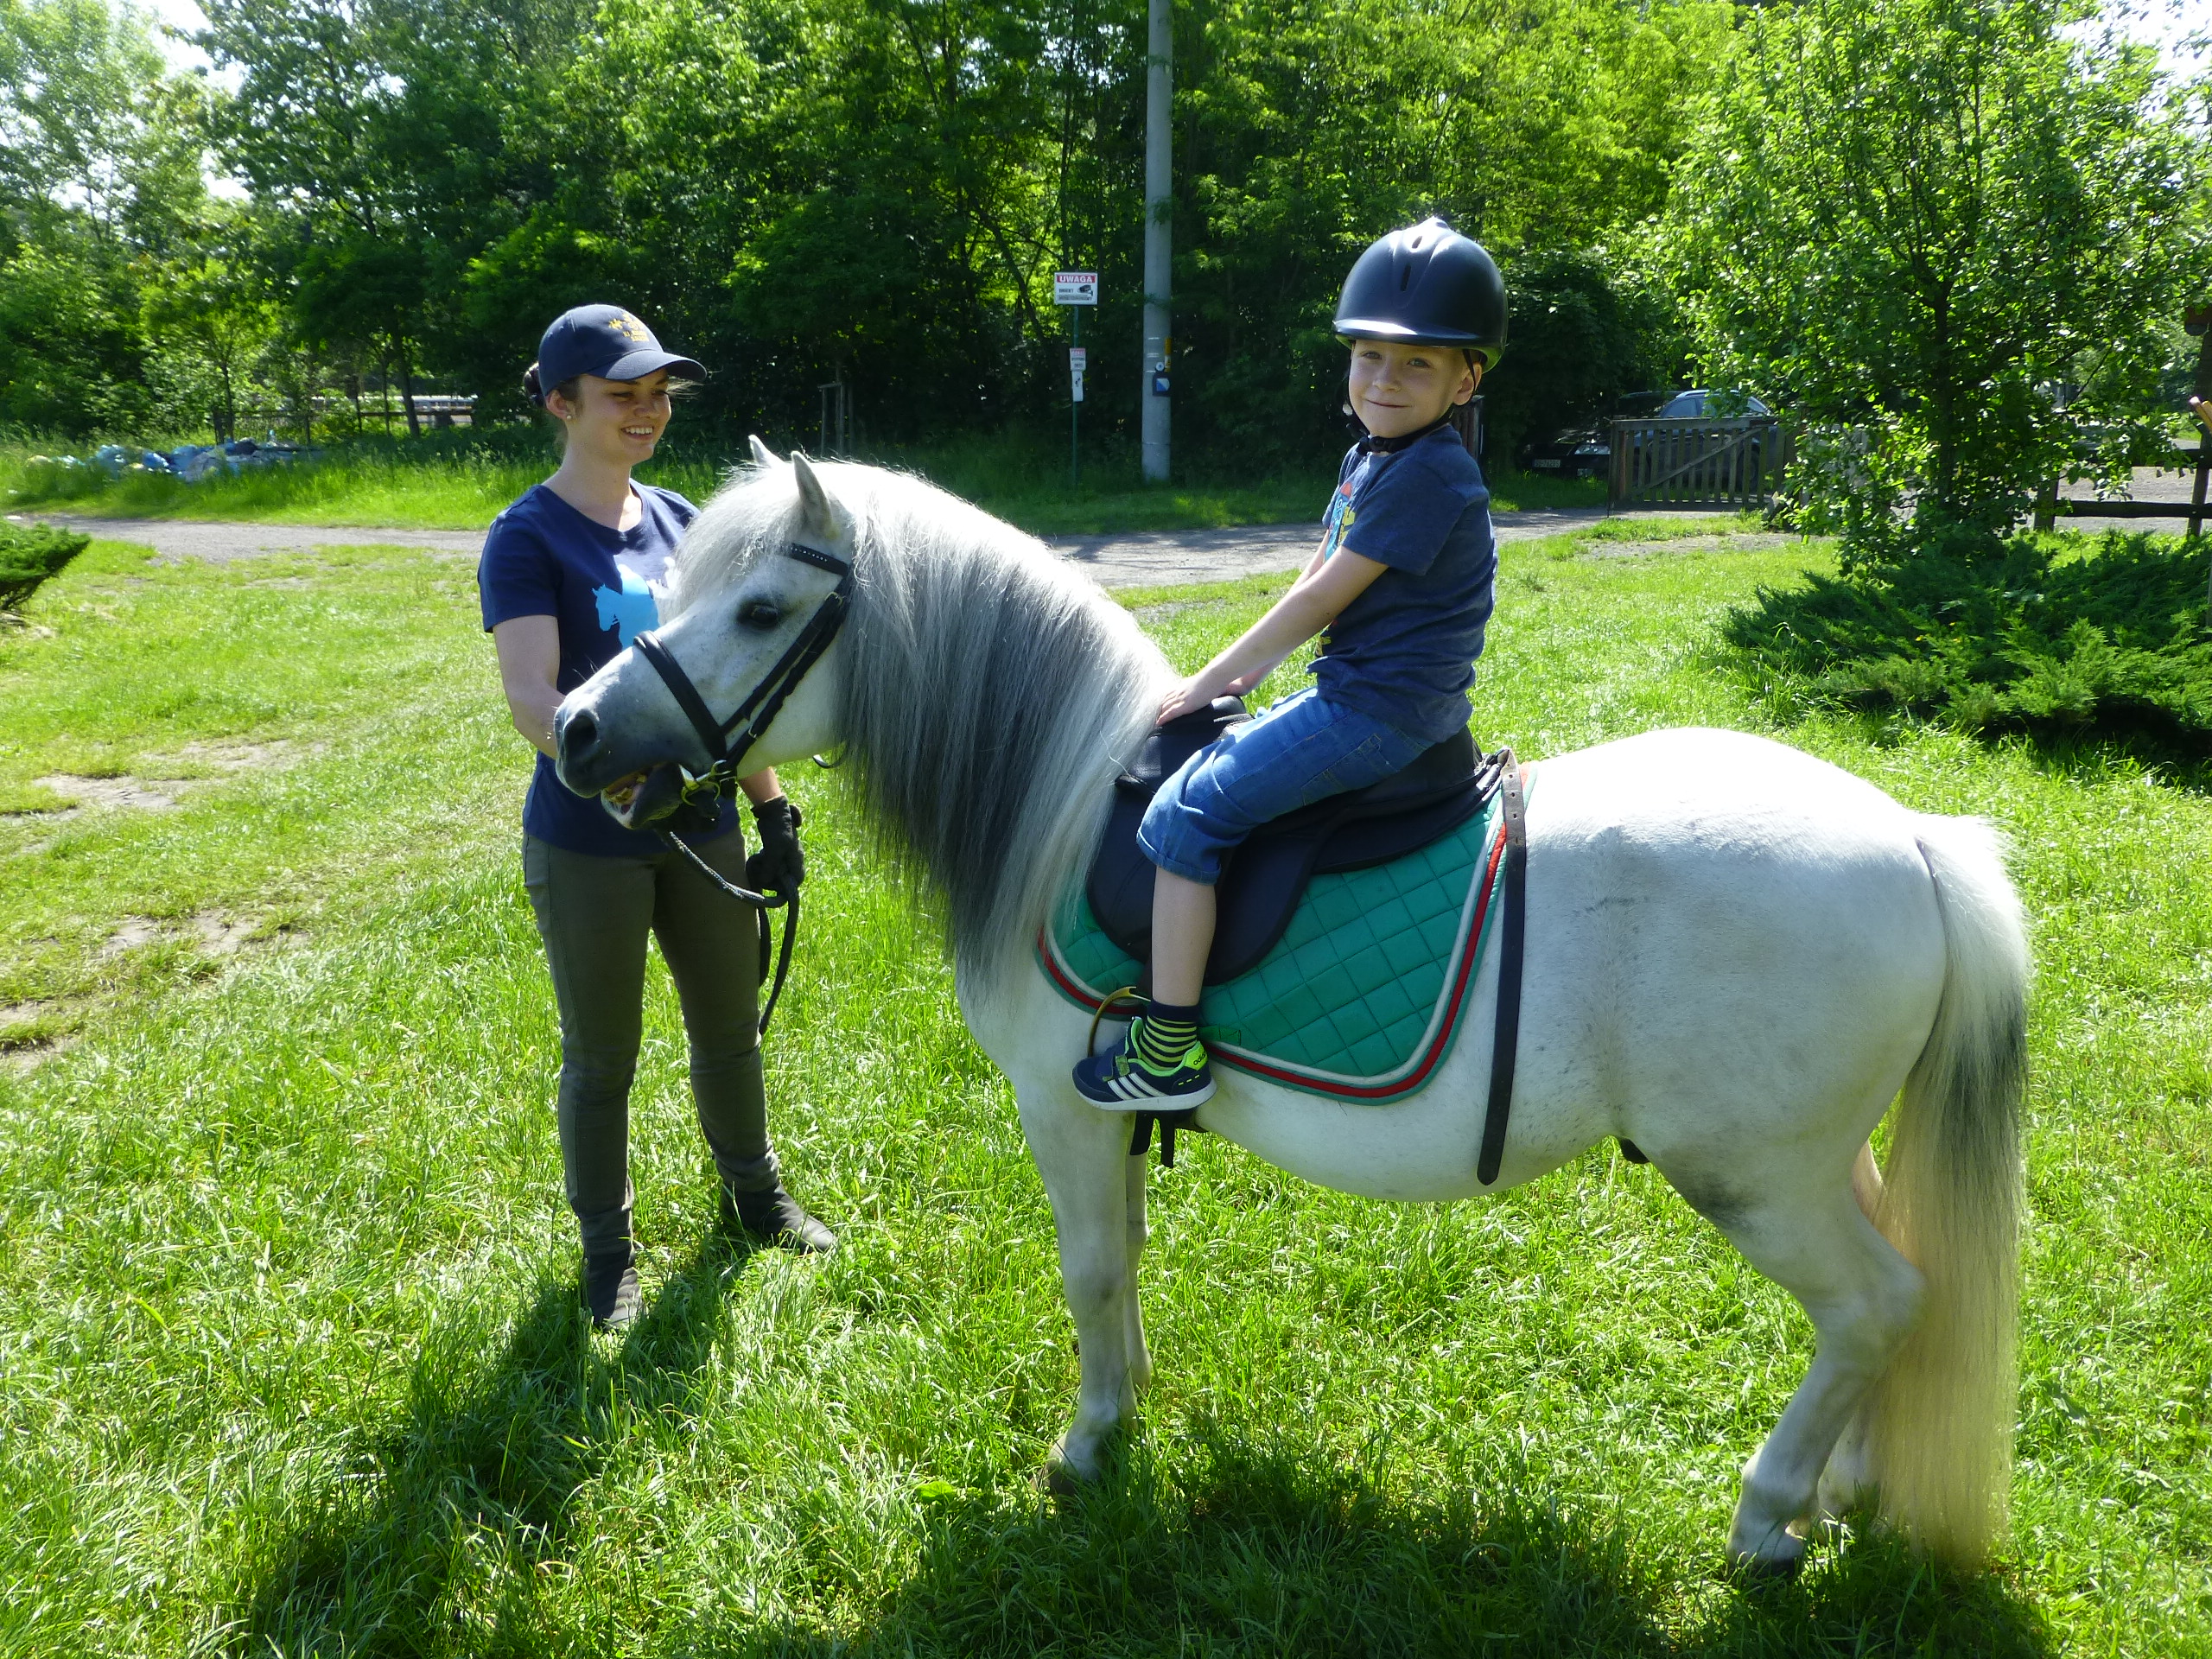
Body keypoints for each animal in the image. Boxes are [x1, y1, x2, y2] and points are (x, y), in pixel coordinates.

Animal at [552, 446, 2028, 1573]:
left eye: (756, 611)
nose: (573, 728)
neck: (1067, 803)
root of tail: (1914, 841)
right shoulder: (1101, 1124)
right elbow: (1126, 1258)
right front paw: (1126, 1409)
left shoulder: (1058, 1112)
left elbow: (1091, 1269)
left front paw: (1087, 1446)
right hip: (1823, 1161)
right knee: (1900, 1292)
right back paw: (1841, 1487)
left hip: (1755, 1180)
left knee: (1875, 1306)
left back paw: (1770, 1517)